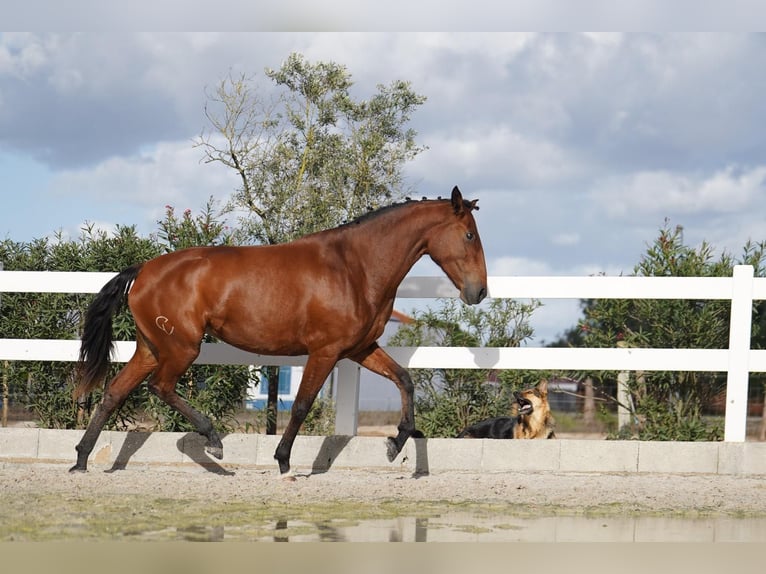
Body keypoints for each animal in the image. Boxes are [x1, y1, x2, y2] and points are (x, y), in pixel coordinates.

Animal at [73, 188, 492, 476]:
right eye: (469, 235)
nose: (479, 292)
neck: (354, 267)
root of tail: (142, 270)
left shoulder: (360, 348)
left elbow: (404, 379)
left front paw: (396, 442)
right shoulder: (325, 351)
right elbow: (303, 405)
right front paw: (284, 461)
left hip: (150, 348)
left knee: (114, 392)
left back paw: (81, 459)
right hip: (180, 348)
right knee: (159, 387)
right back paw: (214, 442)